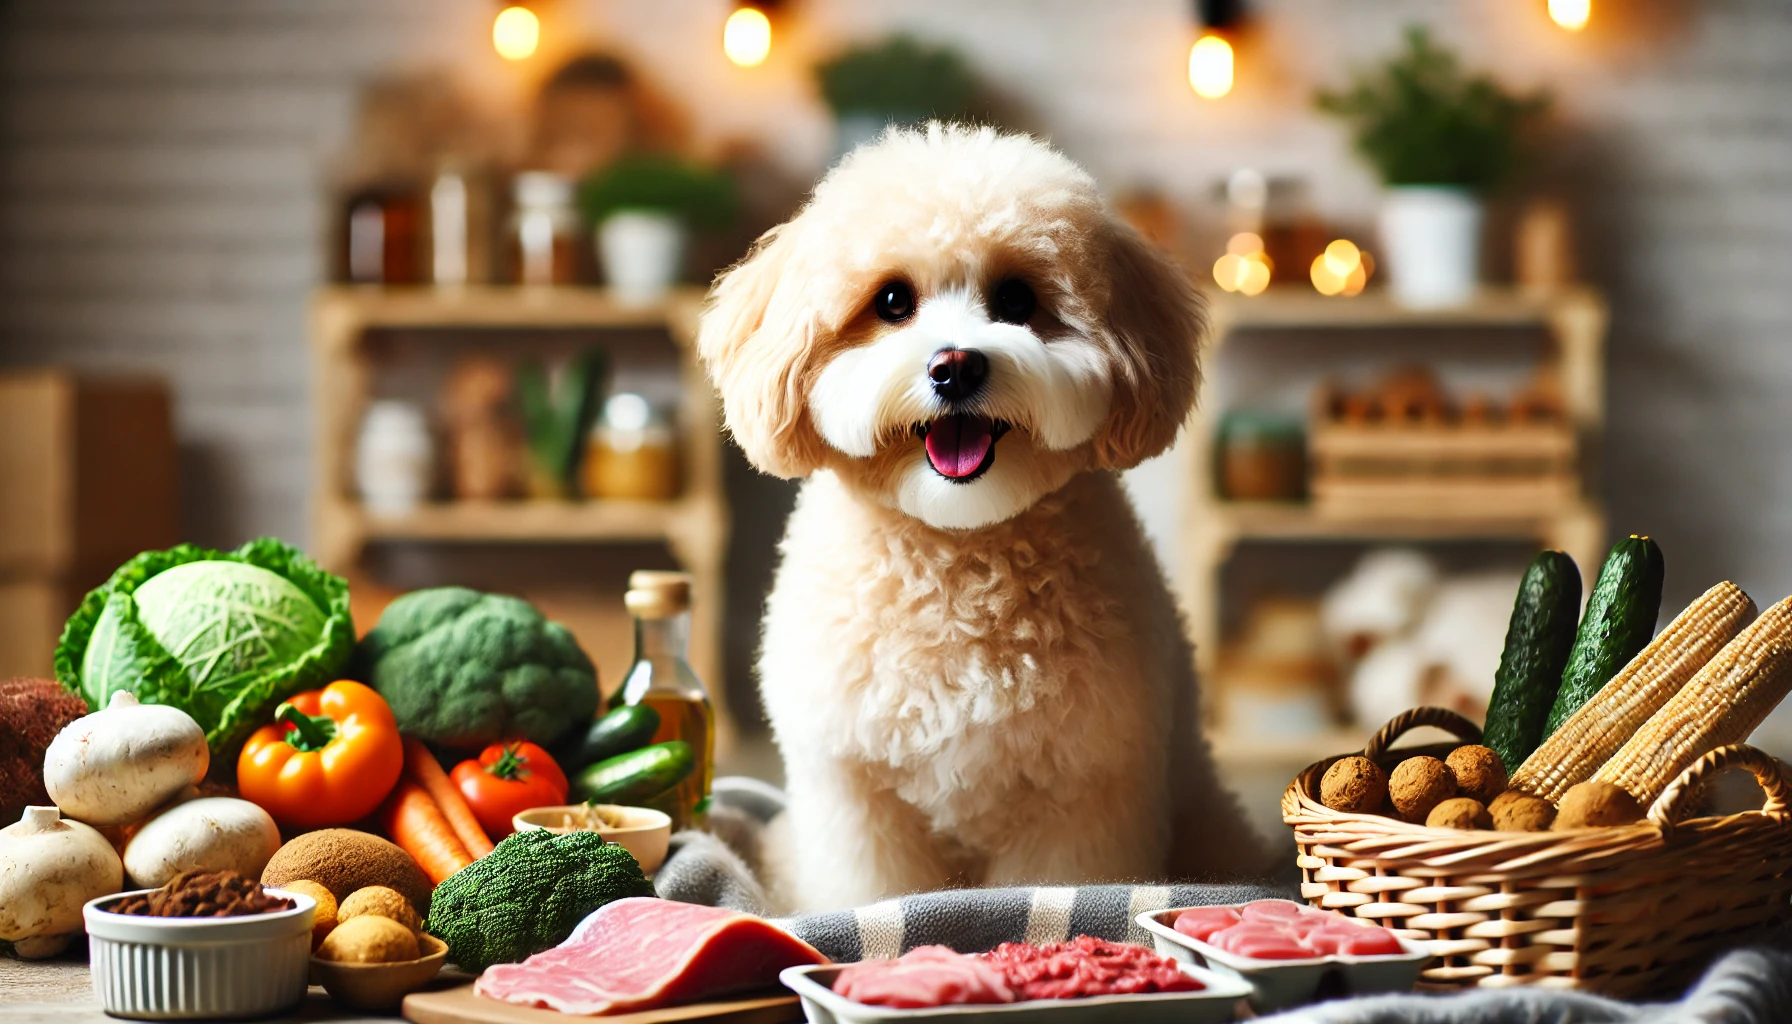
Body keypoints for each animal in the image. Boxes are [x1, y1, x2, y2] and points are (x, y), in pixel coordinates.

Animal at [695, 121, 1261, 914]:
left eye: (1017, 298)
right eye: (892, 300)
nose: (955, 365)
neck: (959, 551)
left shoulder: (1082, 793)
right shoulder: (855, 798)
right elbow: (870, 890)